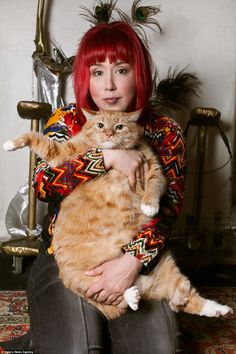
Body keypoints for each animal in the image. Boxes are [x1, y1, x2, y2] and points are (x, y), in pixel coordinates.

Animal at [3, 109, 232, 320]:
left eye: (119, 127)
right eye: (100, 125)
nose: (109, 134)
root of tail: (147, 289)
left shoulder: (154, 168)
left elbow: (154, 186)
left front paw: (149, 206)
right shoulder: (60, 155)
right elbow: (36, 138)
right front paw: (11, 144)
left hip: (167, 268)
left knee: (185, 298)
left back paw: (218, 309)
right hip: (82, 279)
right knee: (116, 299)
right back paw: (132, 295)